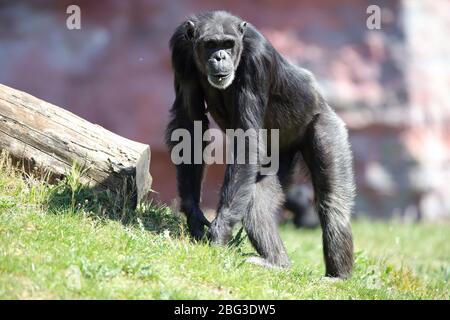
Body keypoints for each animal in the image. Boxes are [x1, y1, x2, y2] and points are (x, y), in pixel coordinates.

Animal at [165, 11, 356, 278]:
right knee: (258, 204)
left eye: (228, 44)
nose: (220, 56)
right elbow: (189, 124)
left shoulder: (258, 60)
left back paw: (338, 277)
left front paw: (219, 232)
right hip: (278, 156)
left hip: (327, 127)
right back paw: (277, 263)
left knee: (333, 204)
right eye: (211, 44)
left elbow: (247, 137)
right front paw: (193, 213)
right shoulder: (180, 51)